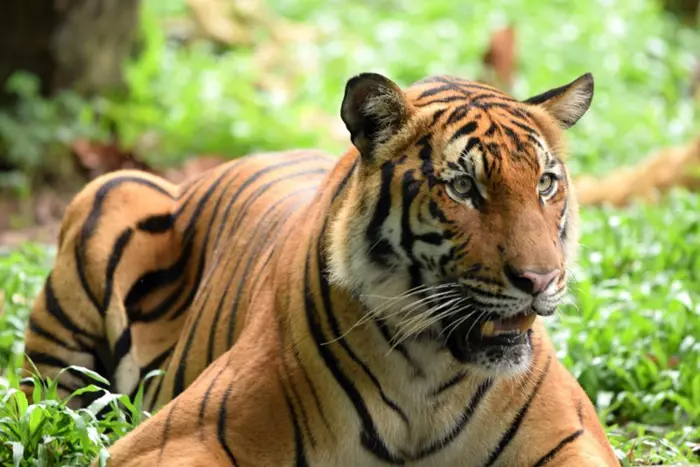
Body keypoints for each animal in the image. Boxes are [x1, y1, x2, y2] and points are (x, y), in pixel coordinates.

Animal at [21, 71, 620, 466]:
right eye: (463, 187)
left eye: (545, 183)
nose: (540, 281)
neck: (430, 374)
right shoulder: (177, 437)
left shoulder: (574, 437)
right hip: (111, 192)